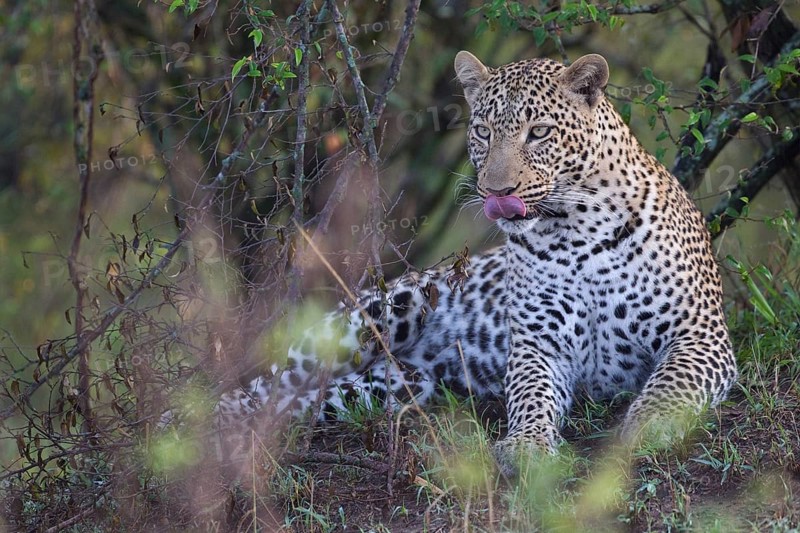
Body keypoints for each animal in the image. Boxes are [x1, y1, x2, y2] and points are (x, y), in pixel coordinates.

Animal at [184, 51, 739, 474]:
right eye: (484, 132)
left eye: (540, 132)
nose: (496, 191)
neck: (576, 228)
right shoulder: (539, 344)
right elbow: (531, 395)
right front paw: (526, 445)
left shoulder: (699, 334)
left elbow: (668, 387)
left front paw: (644, 430)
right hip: (378, 312)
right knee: (258, 387)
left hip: (393, 385)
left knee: (292, 401)